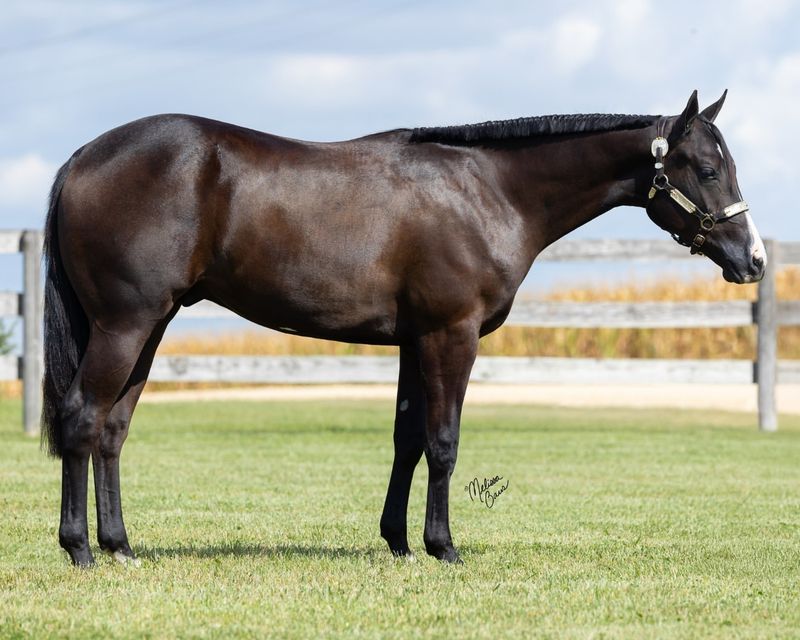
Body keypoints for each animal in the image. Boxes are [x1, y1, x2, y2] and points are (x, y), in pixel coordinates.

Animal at [40, 89, 764, 564]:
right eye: (706, 168)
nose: (753, 260)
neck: (488, 191)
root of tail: (82, 157)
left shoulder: (415, 342)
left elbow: (407, 440)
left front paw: (398, 542)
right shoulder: (451, 335)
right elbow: (443, 443)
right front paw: (444, 547)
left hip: (149, 326)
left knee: (112, 430)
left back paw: (121, 546)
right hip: (125, 324)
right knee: (82, 419)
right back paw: (80, 550)